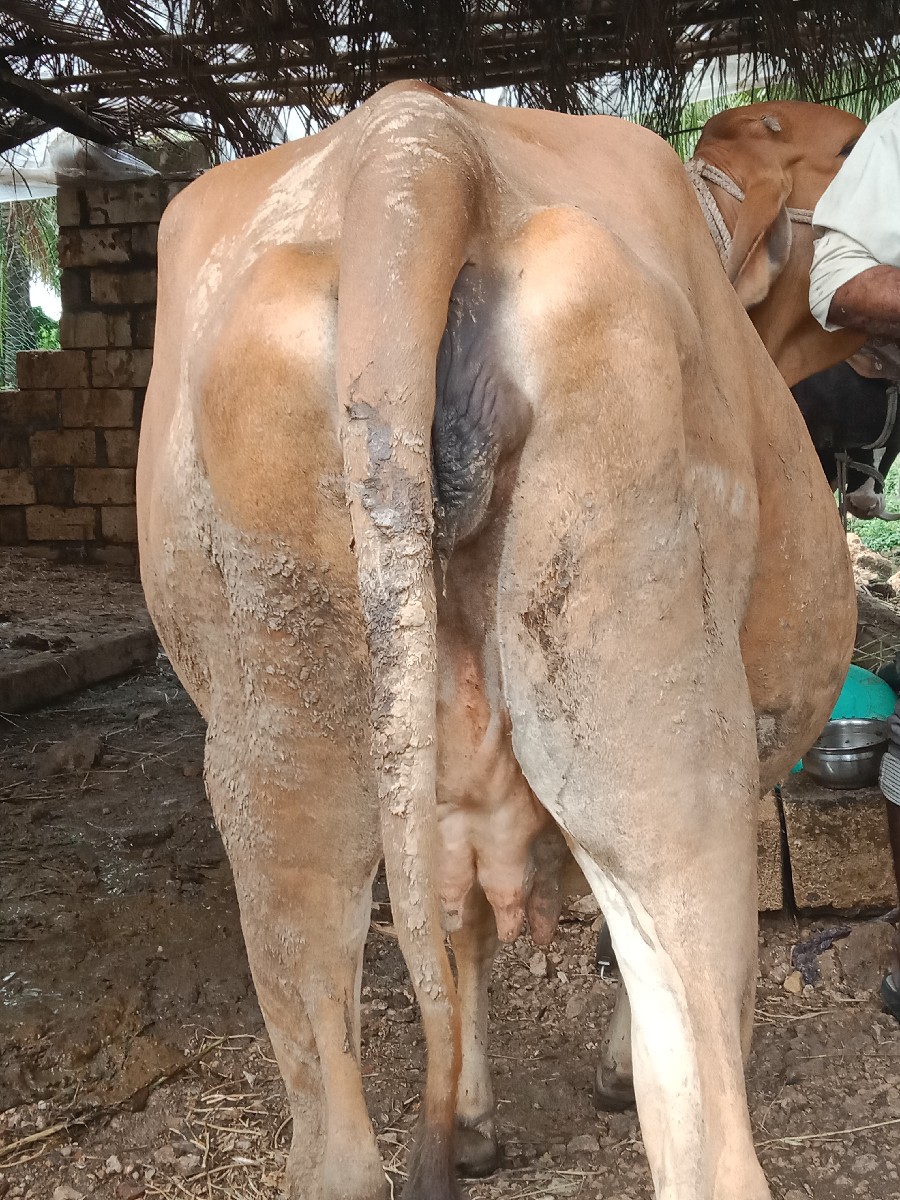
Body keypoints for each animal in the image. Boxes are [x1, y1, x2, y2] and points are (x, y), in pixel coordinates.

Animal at [138, 84, 857, 1200]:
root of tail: (417, 145)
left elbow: (462, 923)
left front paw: (470, 1120)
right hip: (659, 733)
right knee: (705, 1104)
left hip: (285, 734)